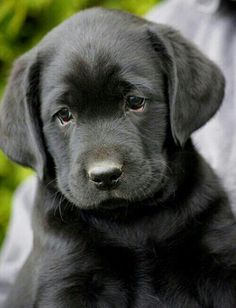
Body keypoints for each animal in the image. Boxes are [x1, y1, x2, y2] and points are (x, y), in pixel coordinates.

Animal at [0, 7, 236, 308]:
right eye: (64, 115)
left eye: (135, 101)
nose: (105, 175)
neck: (131, 219)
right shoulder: (68, 277)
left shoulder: (221, 261)